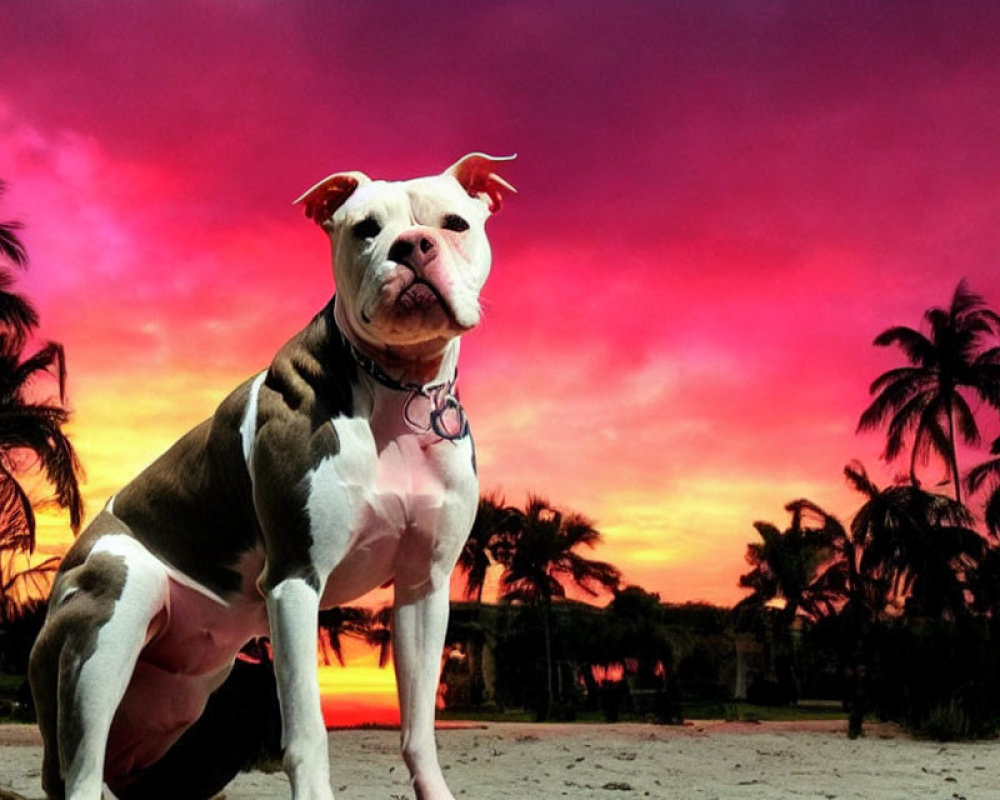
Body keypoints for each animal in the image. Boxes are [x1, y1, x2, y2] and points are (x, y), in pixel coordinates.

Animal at [31, 153, 516, 796]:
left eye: (455, 223)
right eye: (366, 229)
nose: (412, 245)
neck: (397, 386)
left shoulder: (424, 588)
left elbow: (418, 728)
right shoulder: (295, 578)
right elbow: (308, 730)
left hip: (177, 700)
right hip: (111, 613)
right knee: (83, 769)